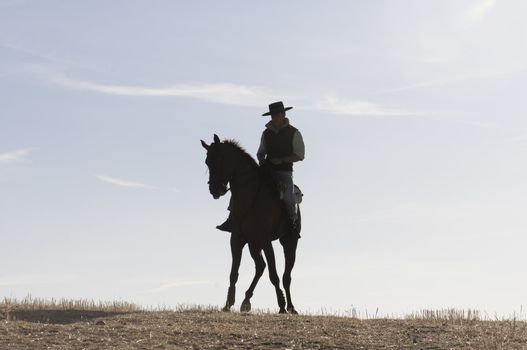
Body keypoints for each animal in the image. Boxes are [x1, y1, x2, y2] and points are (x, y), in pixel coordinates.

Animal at [200, 134, 300, 314]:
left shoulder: (266, 240)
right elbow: (234, 273)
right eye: (207, 162)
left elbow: (274, 274)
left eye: (220, 159)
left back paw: (290, 306)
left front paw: (281, 305)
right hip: (254, 244)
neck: (250, 197)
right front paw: (228, 304)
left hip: (289, 242)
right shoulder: (237, 238)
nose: (215, 190)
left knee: (285, 275)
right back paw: (246, 301)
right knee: (260, 267)